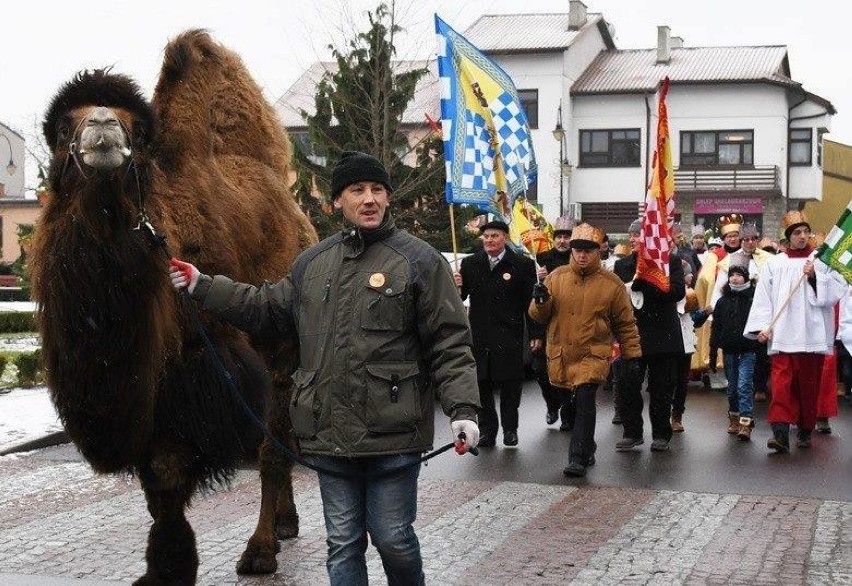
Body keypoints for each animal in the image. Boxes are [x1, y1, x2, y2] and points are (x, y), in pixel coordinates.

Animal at [30, 29, 316, 580]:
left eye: (137, 130)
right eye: (63, 126)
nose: (102, 126)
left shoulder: (192, 376)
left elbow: (165, 481)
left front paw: (171, 563)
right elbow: (151, 488)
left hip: (280, 348)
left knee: (271, 443)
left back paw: (260, 549)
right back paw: (286, 523)